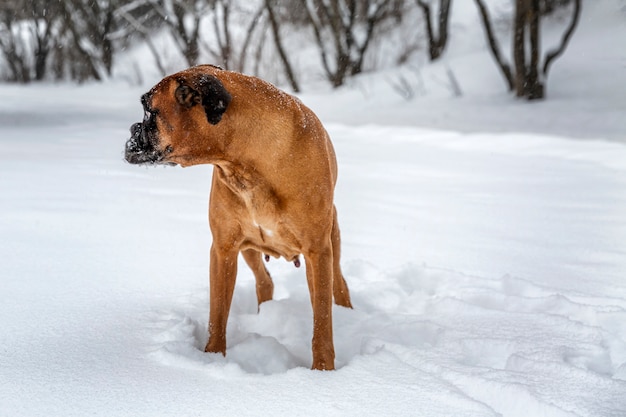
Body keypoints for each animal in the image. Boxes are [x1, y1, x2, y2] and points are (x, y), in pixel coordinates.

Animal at [123, 63, 352, 368]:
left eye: (149, 111)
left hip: (331, 241)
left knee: (338, 284)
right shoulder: (223, 249)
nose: (132, 128)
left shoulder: (317, 251)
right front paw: (212, 358)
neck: (247, 161)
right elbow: (217, 314)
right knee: (264, 281)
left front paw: (323, 370)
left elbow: (322, 320)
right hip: (250, 248)